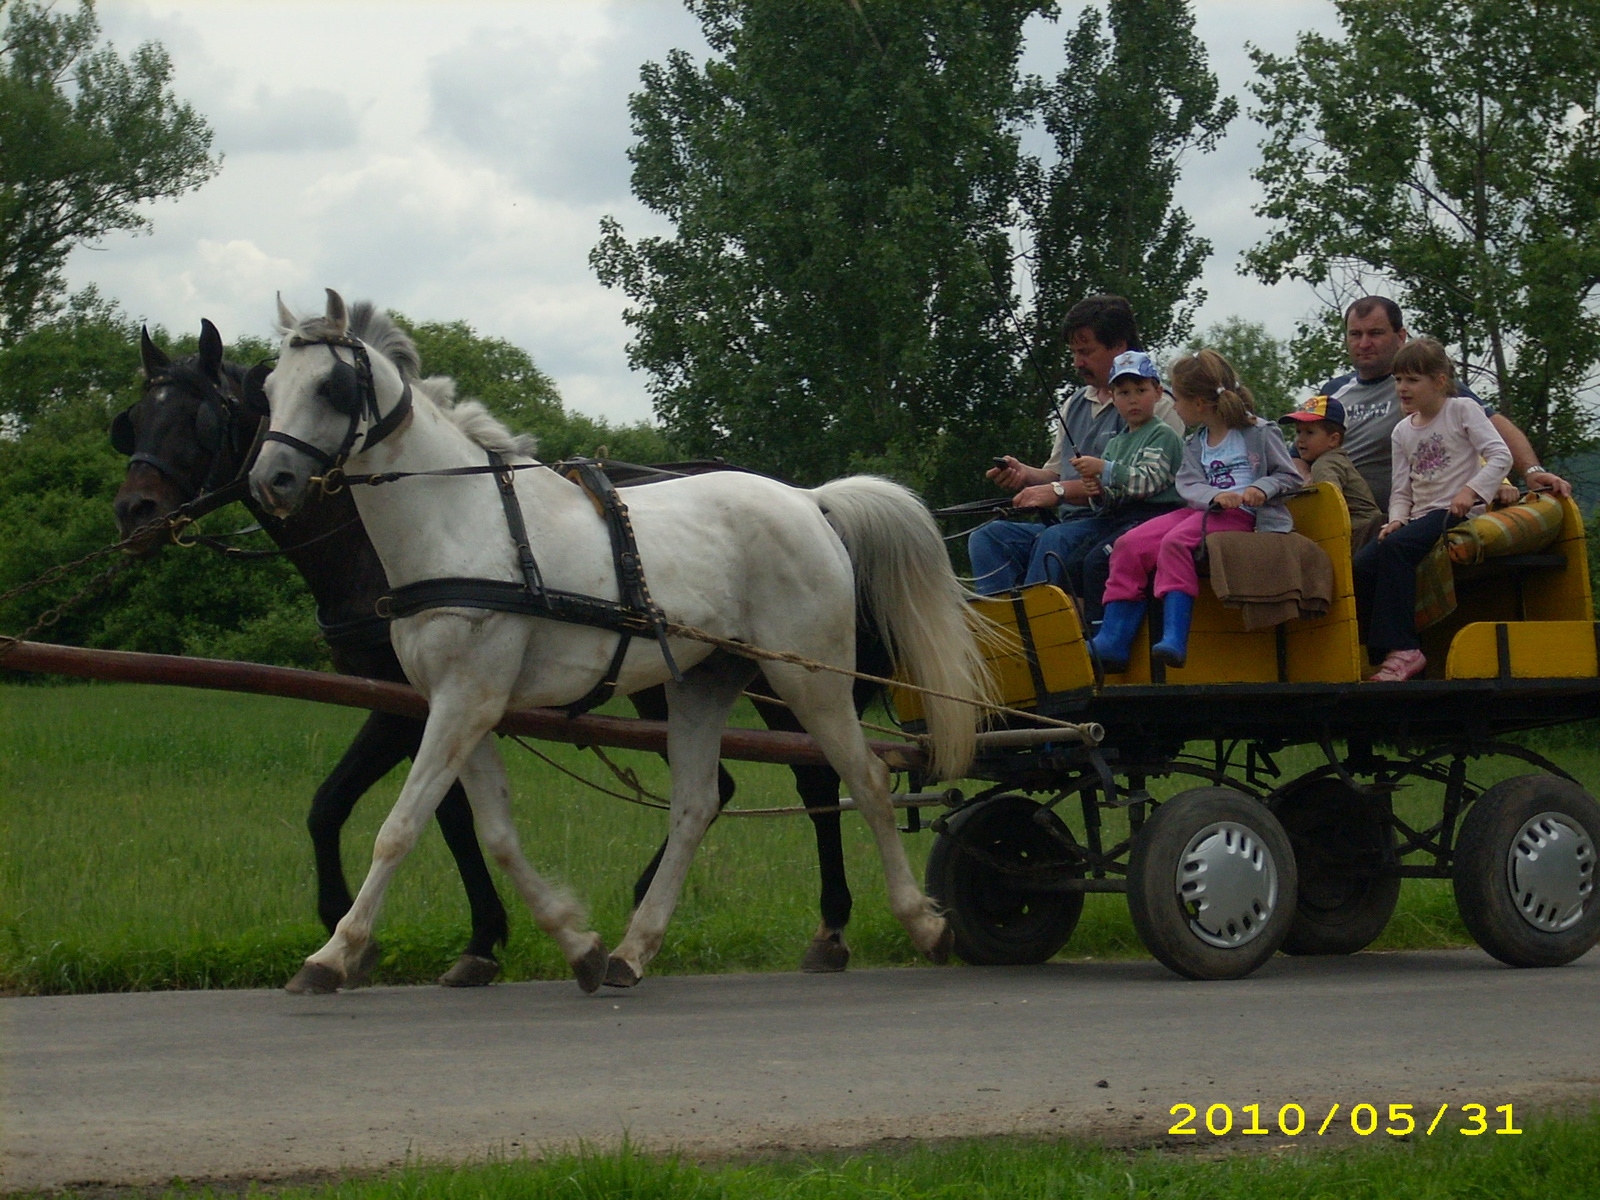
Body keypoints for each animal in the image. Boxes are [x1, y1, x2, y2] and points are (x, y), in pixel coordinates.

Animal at [249, 291, 992, 998]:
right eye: (270, 389)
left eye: (332, 388)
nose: (272, 480)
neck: (461, 523)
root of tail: (810, 500)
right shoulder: (460, 705)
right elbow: (497, 834)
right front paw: (577, 943)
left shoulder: (462, 703)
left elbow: (399, 829)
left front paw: (333, 955)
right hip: (702, 684)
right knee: (696, 805)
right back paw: (633, 951)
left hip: (810, 680)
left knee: (863, 780)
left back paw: (923, 925)